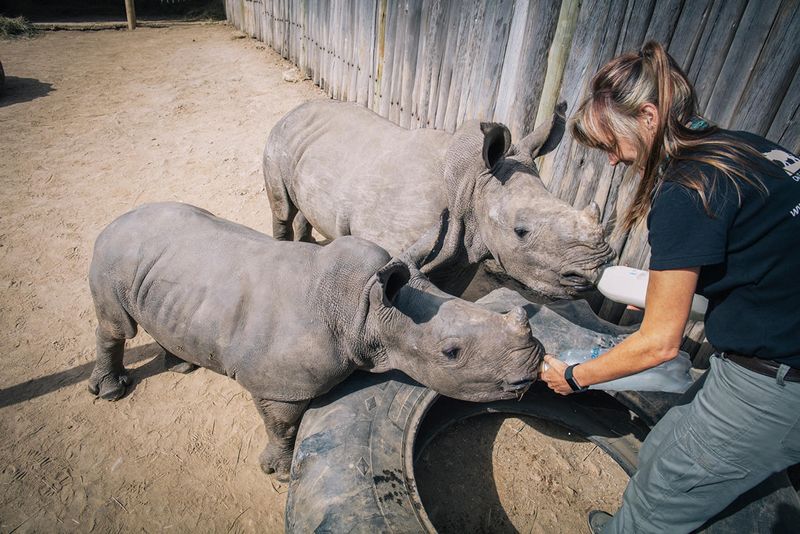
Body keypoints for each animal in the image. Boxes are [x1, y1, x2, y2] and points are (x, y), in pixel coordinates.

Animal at [88, 203, 543, 481]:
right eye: (451, 352)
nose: (535, 365)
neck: (366, 311)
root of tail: (119, 217)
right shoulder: (278, 385)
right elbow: (284, 425)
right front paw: (280, 472)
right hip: (111, 254)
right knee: (116, 326)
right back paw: (110, 392)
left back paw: (183, 364)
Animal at [263, 100, 614, 297]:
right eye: (520, 231)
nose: (592, 273)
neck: (471, 183)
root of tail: (297, 108)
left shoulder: (464, 253)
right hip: (278, 136)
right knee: (282, 207)